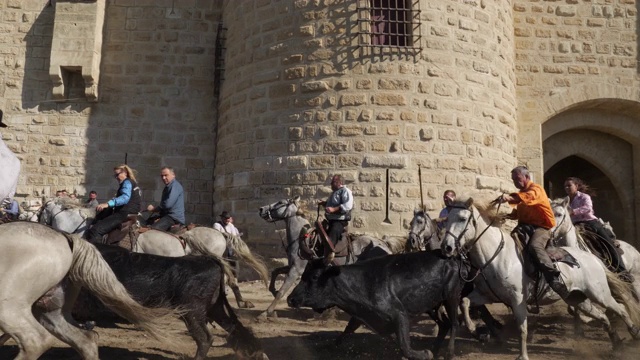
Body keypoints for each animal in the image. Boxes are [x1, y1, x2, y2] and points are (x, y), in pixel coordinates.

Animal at [288, 250, 468, 360]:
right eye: (303, 275)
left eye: (314, 276)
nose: (290, 299)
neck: (362, 283)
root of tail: (454, 259)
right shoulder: (361, 316)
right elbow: (346, 331)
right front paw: (327, 347)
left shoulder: (399, 315)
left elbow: (404, 346)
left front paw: (424, 354)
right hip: (433, 305)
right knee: (444, 324)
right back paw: (436, 350)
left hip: (451, 297)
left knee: (454, 323)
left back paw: (449, 353)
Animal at [440, 197, 640, 360]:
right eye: (446, 219)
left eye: (462, 218)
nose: (447, 247)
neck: (496, 255)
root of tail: (592, 258)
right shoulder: (487, 296)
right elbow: (465, 302)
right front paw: (474, 329)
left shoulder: (518, 300)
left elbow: (522, 328)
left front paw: (523, 356)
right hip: (577, 298)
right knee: (602, 316)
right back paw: (617, 344)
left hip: (599, 294)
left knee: (620, 308)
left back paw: (634, 333)